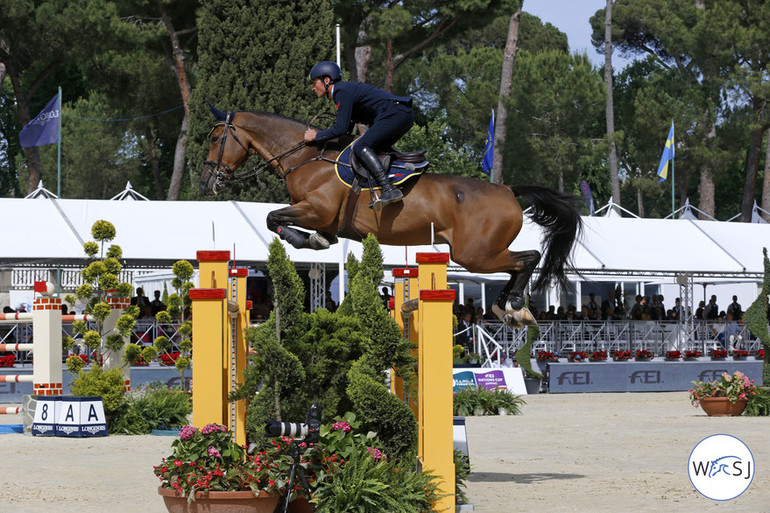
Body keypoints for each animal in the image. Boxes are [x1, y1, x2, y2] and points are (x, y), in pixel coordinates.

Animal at [200, 106, 584, 326]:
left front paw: (307, 240)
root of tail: (506, 189)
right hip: (478, 253)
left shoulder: (315, 210)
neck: (305, 157)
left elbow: (273, 218)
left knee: (527, 258)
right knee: (521, 261)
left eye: (216, 138)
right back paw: (508, 307)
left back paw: (516, 305)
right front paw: (319, 240)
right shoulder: (316, 215)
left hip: (475, 254)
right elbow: (282, 221)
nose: (206, 181)